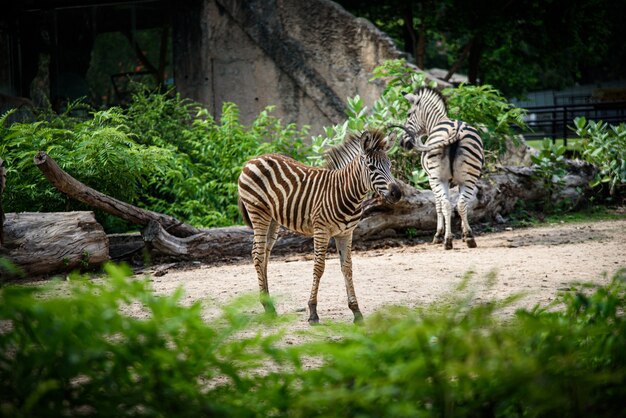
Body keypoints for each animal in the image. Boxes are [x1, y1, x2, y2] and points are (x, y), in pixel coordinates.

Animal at [234, 128, 400, 324]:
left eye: (390, 165)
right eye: (372, 167)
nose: (397, 193)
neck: (345, 191)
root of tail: (254, 159)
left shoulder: (346, 233)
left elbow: (347, 268)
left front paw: (356, 311)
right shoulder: (321, 231)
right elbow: (319, 267)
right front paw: (313, 311)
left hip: (273, 219)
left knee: (265, 255)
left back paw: (268, 303)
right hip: (258, 212)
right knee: (258, 254)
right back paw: (268, 307)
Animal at [390, 85, 482, 248]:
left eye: (408, 114)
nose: (402, 143)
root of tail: (456, 130)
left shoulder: (431, 178)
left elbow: (438, 205)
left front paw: (439, 235)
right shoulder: (456, 181)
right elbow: (461, 204)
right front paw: (464, 234)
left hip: (438, 178)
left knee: (445, 204)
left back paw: (447, 241)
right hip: (470, 177)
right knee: (462, 203)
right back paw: (470, 238)